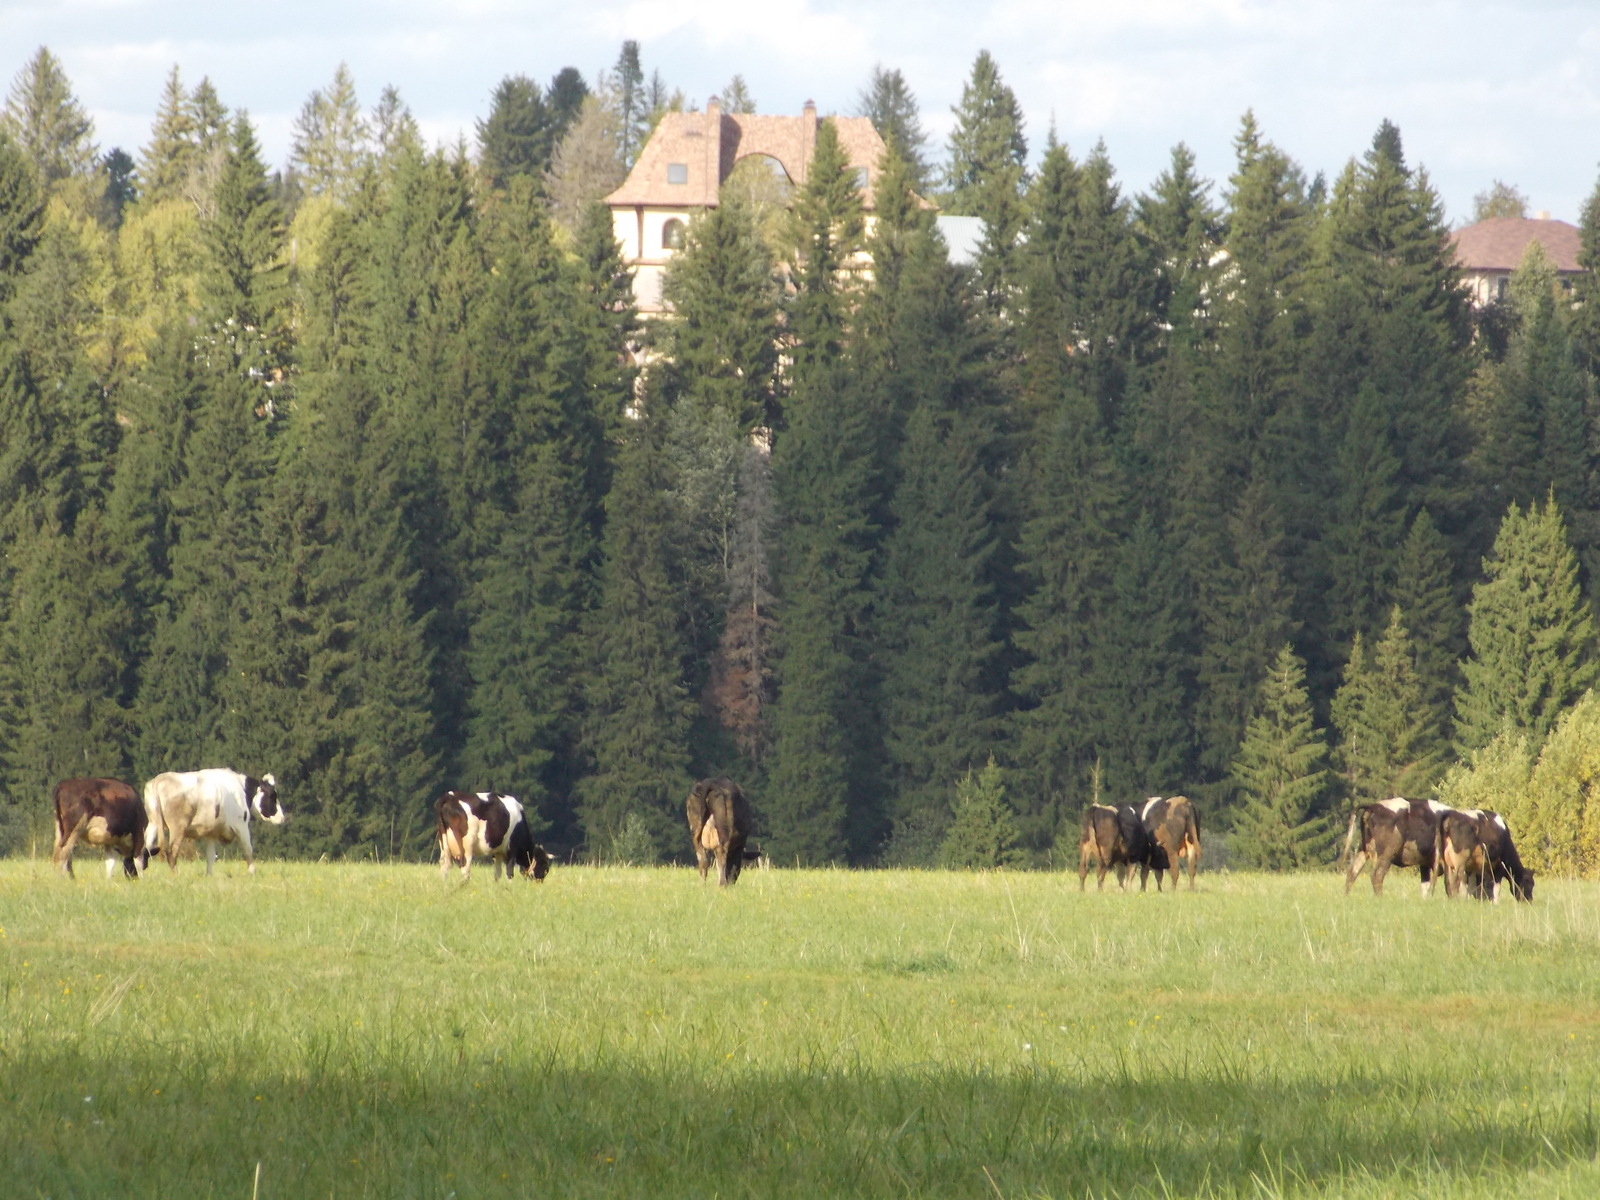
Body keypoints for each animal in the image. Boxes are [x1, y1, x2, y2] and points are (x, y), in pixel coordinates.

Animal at [141, 771, 284, 876]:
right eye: (273, 796)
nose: (282, 818)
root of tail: (159, 780)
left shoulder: (211, 832)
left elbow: (210, 855)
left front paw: (209, 875)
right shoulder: (241, 825)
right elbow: (248, 849)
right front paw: (252, 872)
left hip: (153, 823)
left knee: (143, 849)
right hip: (178, 827)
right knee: (170, 852)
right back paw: (176, 875)